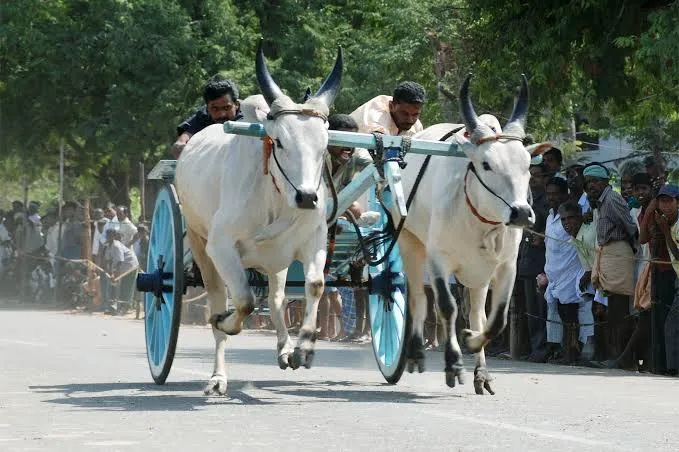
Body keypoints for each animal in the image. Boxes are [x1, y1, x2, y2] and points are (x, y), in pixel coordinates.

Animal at [175, 42, 342, 396]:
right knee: (217, 300)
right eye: (279, 142)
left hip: (275, 261)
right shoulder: (221, 247)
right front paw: (225, 322)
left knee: (277, 300)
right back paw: (217, 376)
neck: (276, 197)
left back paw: (285, 349)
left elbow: (315, 285)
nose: (307, 197)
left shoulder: (314, 240)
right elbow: (244, 302)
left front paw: (304, 348)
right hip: (200, 244)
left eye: (324, 146)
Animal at [396, 74, 548, 392]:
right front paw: (454, 364)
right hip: (409, 242)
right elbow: (446, 308)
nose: (521, 213)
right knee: (417, 296)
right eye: (486, 164)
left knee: (478, 313)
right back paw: (415, 353)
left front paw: (471, 341)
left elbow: (497, 319)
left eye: (527, 166)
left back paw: (481, 371)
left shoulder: (507, 266)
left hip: (479, 275)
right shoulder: (438, 260)